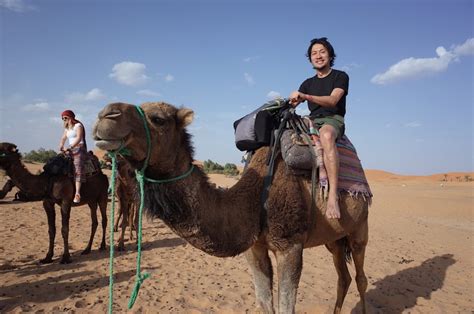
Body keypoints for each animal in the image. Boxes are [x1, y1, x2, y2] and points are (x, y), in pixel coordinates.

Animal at [92, 102, 370, 312]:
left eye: (158, 119)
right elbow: (264, 303)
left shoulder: (290, 244)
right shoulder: (254, 247)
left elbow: (285, 307)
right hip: (334, 238)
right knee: (343, 277)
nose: (105, 114)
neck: (256, 198)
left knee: (361, 277)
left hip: (360, 227)